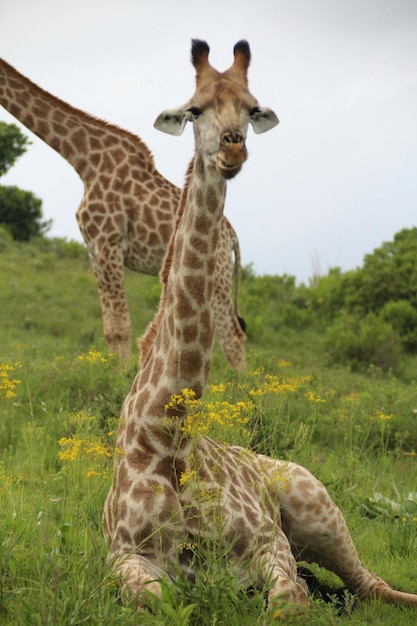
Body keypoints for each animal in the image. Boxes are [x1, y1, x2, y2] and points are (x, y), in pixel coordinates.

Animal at [0, 56, 245, 366]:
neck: (83, 160)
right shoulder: (94, 250)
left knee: (233, 336)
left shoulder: (110, 243)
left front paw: (123, 374)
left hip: (220, 276)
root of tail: (233, 235)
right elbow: (109, 327)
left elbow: (121, 325)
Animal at [101, 41, 416, 616]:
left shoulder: (270, 543)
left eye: (251, 109)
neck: (169, 432)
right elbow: (153, 600)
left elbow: (289, 601)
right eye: (195, 109)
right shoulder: (123, 556)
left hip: (316, 509)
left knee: (370, 584)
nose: (233, 151)